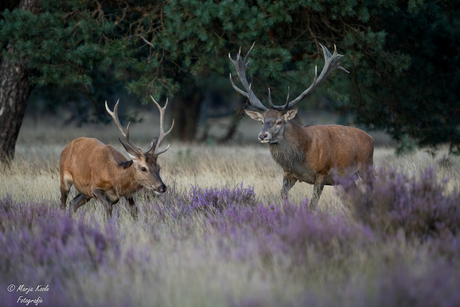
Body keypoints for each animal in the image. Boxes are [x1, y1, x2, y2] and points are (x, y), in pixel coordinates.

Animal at [229, 43, 374, 211]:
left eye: (279, 121)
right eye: (262, 121)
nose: (262, 136)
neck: (301, 159)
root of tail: (370, 138)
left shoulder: (322, 172)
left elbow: (312, 203)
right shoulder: (288, 174)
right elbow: (283, 194)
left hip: (367, 167)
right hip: (347, 178)